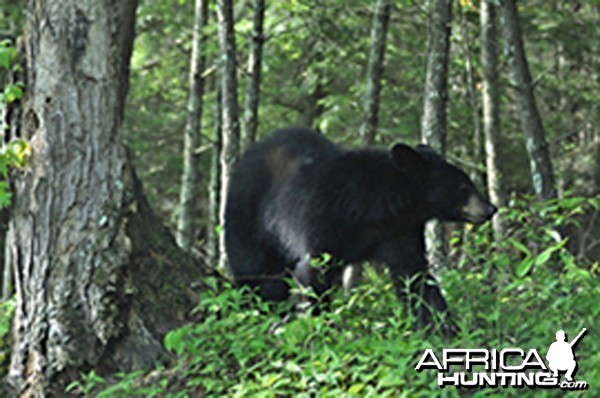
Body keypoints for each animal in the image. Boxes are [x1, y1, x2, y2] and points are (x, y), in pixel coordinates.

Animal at [223, 129, 494, 322]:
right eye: (463, 186)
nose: (491, 208)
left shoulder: (398, 231)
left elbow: (414, 276)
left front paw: (443, 326)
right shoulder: (322, 220)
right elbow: (314, 271)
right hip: (248, 218)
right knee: (257, 272)